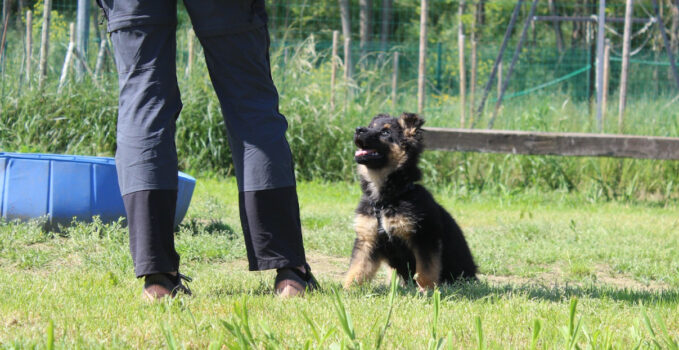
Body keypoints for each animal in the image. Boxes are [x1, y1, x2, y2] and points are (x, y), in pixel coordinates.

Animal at [342, 113, 476, 292]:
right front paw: (347, 290)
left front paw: (425, 291)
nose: (358, 129)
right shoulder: (367, 239)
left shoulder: (424, 238)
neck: (385, 199)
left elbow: (425, 270)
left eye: (385, 132)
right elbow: (357, 268)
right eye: (371, 127)